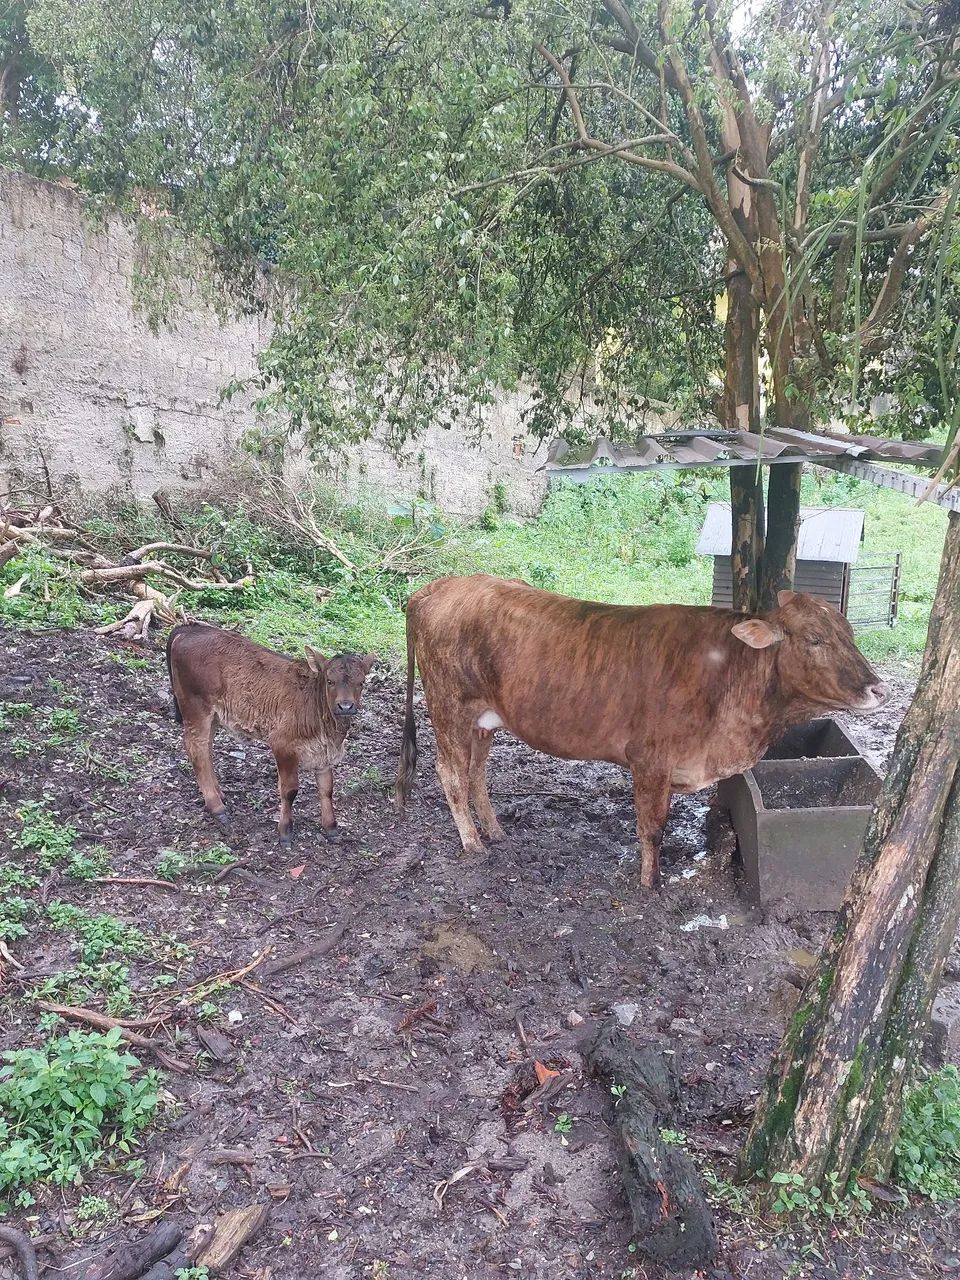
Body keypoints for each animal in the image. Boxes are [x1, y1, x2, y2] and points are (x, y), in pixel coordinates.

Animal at [167, 623, 375, 846]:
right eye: (329, 681)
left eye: (361, 682)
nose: (345, 706)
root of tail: (190, 628)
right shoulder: (282, 745)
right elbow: (290, 790)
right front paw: (285, 830)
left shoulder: (324, 753)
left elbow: (327, 789)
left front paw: (331, 827)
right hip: (196, 706)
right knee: (196, 748)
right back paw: (216, 806)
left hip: (214, 714)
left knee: (207, 748)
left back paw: (218, 793)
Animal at [393, 575, 887, 888]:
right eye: (815, 640)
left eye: (850, 634)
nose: (878, 688)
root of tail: (432, 589)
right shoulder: (650, 760)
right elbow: (652, 828)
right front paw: (651, 884)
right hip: (449, 707)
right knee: (451, 773)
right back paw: (473, 842)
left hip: (484, 720)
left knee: (477, 773)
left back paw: (494, 832)